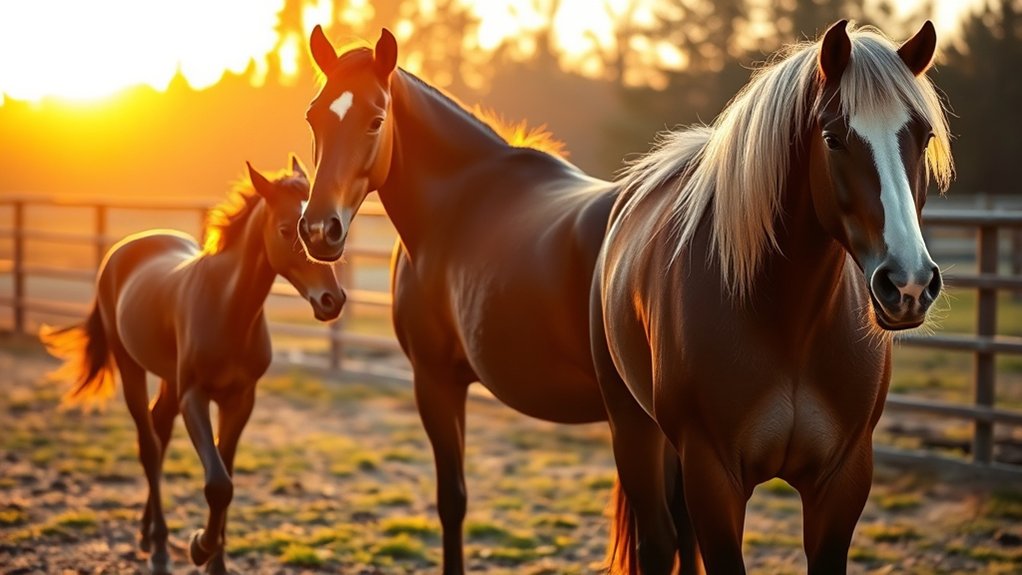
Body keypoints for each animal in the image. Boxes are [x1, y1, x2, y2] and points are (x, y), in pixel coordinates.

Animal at [40, 156, 344, 575]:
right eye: (286, 230)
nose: (332, 300)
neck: (226, 308)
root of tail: (125, 248)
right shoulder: (194, 397)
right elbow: (217, 483)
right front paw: (199, 547)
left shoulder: (240, 399)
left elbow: (226, 475)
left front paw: (216, 561)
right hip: (132, 367)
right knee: (150, 446)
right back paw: (159, 547)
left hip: (170, 379)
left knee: (160, 429)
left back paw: (147, 533)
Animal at [296, 26, 621, 572]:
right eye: (313, 116)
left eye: (376, 119)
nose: (321, 230)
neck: (457, 200)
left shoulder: (435, 379)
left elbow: (452, 500)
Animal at [590, 21, 953, 574]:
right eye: (832, 138)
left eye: (923, 135)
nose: (909, 283)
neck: (788, 324)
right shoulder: (713, 477)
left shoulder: (842, 481)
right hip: (634, 430)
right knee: (657, 540)